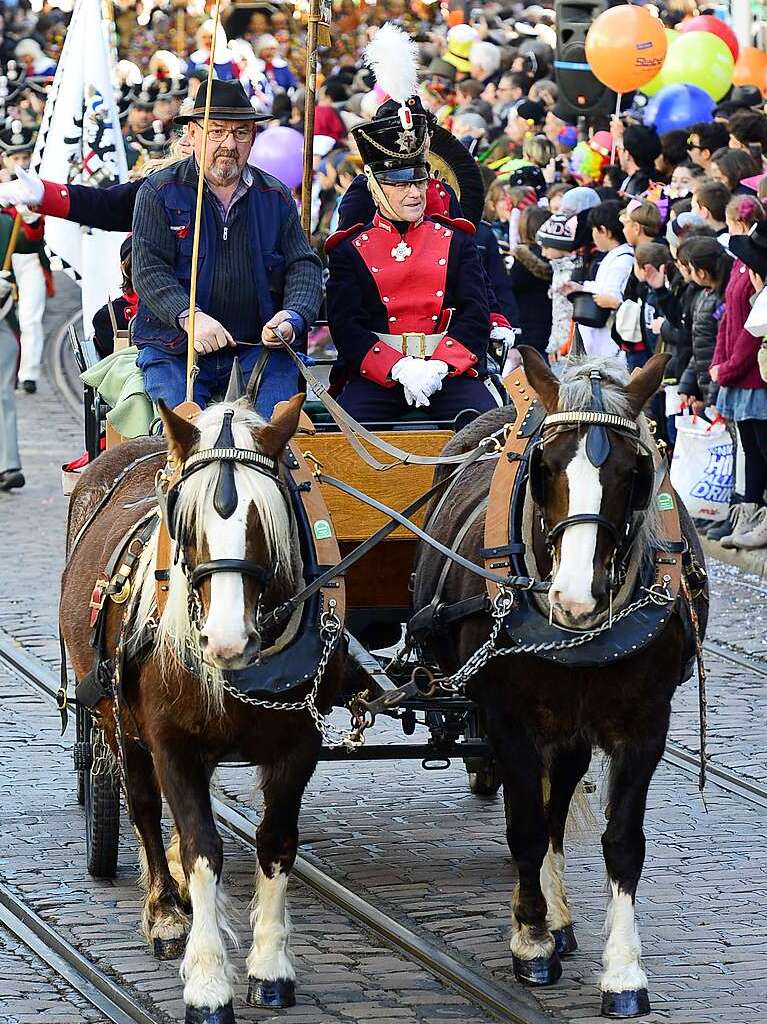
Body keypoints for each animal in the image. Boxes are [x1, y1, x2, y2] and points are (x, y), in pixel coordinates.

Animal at [59, 393, 344, 1024]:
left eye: (265, 522)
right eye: (185, 524)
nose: (226, 640)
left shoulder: (299, 746)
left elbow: (275, 842)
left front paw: (270, 969)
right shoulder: (172, 745)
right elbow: (201, 848)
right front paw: (209, 983)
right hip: (119, 724)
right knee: (143, 805)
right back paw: (166, 912)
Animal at [413, 350, 704, 1015]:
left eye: (634, 471)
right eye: (543, 468)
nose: (574, 597)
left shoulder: (644, 727)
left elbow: (620, 840)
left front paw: (623, 972)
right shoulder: (509, 721)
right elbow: (523, 825)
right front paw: (530, 940)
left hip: (572, 726)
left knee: (557, 801)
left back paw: (562, 916)